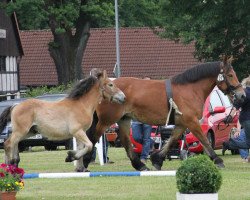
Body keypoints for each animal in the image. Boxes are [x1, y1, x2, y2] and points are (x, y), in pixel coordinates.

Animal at [84, 57, 246, 170]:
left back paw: (140, 165)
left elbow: (171, 141)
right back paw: (84, 163)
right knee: (93, 137)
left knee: (125, 141)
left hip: (123, 119)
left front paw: (157, 160)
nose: (242, 95)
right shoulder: (192, 122)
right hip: (106, 120)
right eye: (230, 75)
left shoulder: (182, 124)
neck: (190, 89)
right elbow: (204, 140)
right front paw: (218, 160)